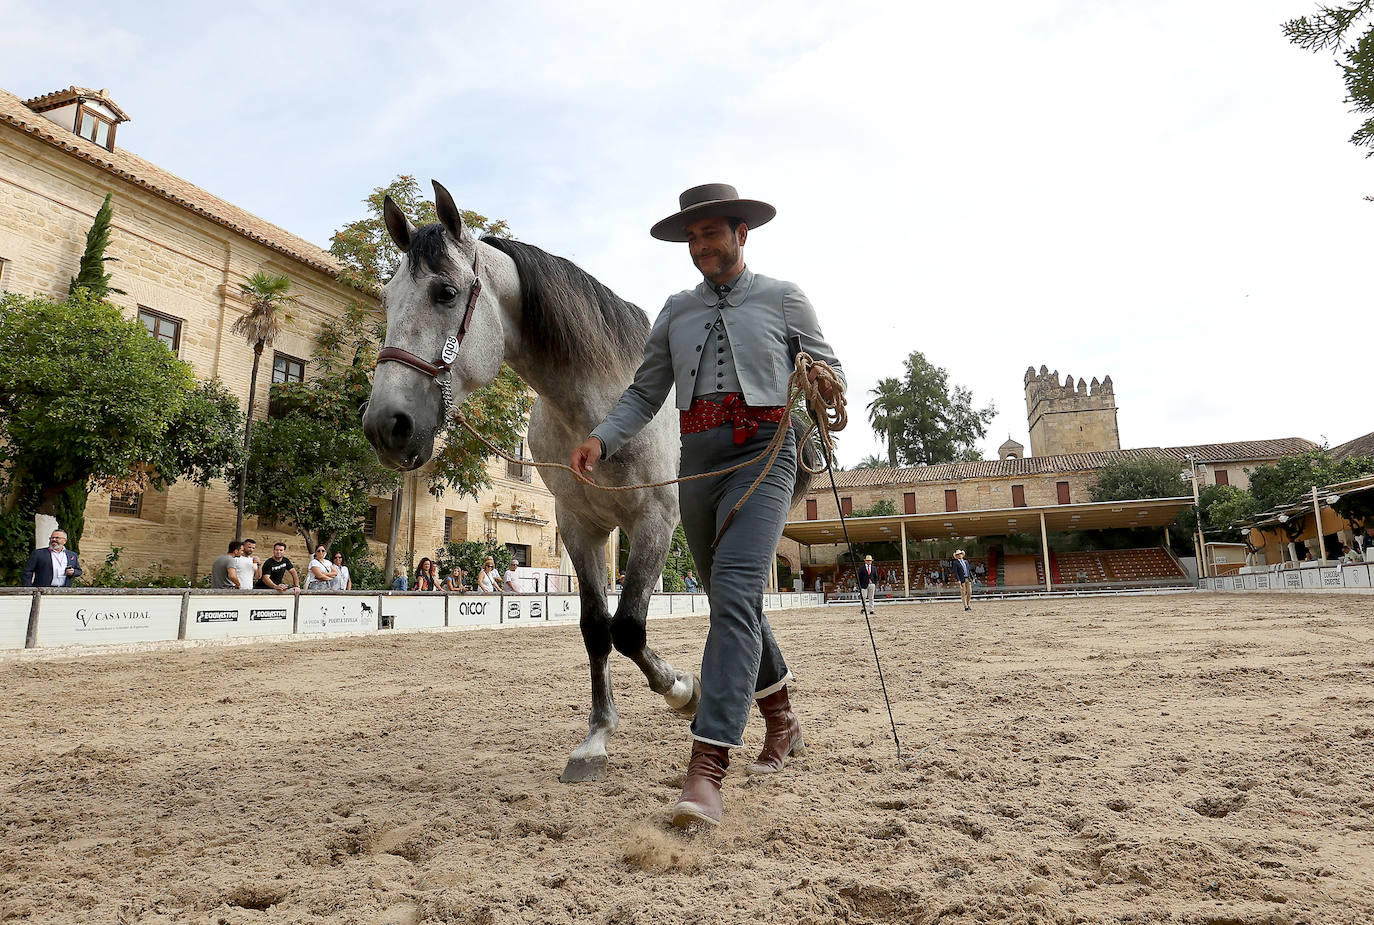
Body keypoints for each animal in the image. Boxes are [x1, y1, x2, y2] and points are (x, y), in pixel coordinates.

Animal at [365, 178, 807, 780]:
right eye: (387, 299)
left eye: (446, 293)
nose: (386, 426)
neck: (598, 408)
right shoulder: (579, 527)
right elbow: (598, 628)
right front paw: (597, 736)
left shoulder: (652, 523)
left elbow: (630, 627)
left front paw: (682, 690)